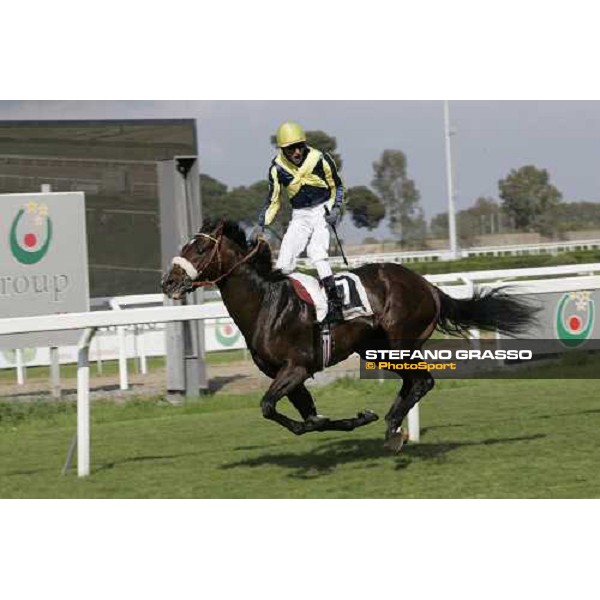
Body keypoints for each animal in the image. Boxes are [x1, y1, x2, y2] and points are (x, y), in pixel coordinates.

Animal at [162, 219, 536, 450]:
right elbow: (309, 417)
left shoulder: (296, 367)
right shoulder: (285, 374)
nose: (168, 281)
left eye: (199, 249)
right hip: (378, 350)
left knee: (423, 381)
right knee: (411, 383)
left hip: (401, 341)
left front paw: (354, 419)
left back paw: (394, 426)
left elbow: (270, 407)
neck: (266, 302)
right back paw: (392, 425)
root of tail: (428, 286)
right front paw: (356, 418)